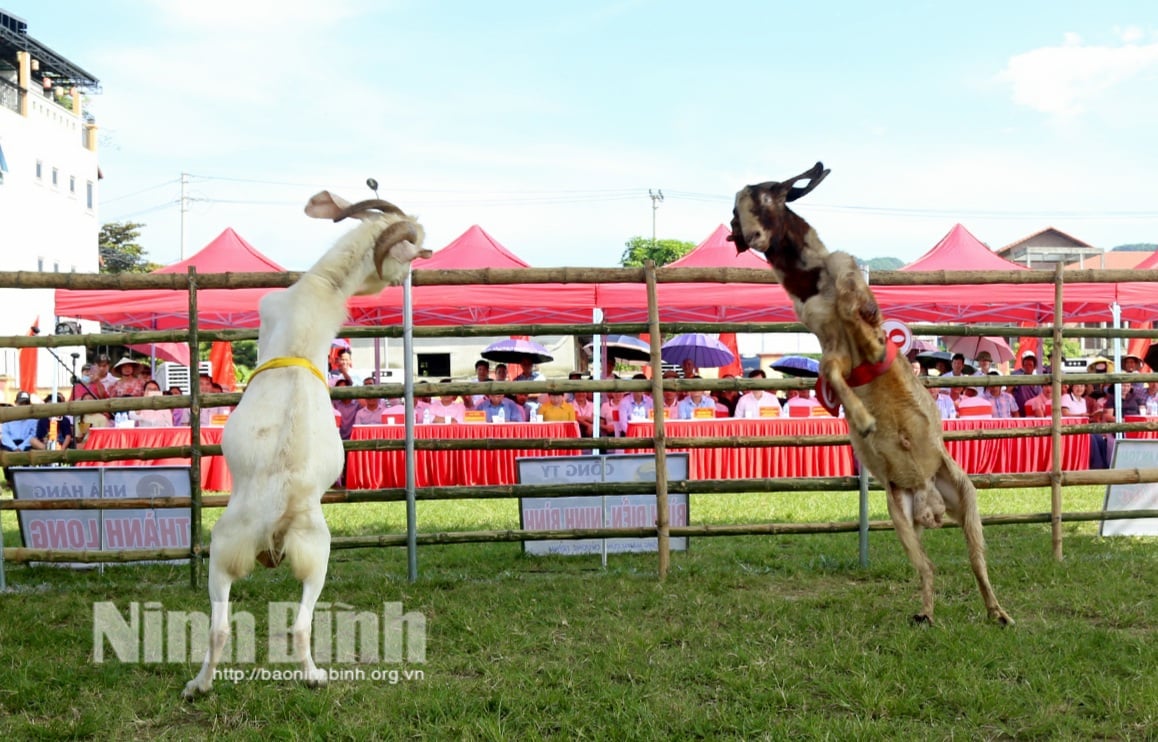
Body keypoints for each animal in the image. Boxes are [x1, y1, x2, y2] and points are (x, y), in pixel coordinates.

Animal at [185, 189, 430, 694]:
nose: (406, 277)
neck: (325, 285)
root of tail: (279, 519)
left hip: (224, 546)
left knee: (220, 627)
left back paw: (198, 685)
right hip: (318, 551)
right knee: (299, 624)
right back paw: (314, 676)